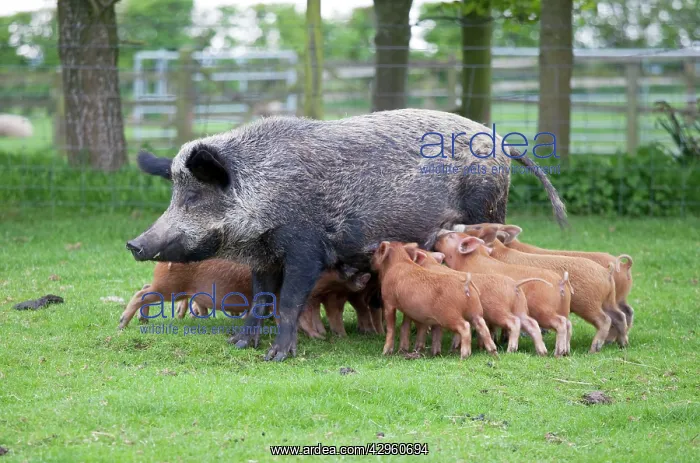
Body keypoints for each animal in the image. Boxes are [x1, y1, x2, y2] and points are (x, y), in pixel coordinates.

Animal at [434, 232, 573, 356]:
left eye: (451, 236)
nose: (437, 235)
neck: (469, 261)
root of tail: (561, 282)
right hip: (543, 309)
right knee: (564, 324)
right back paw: (557, 352)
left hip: (541, 310)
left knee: (559, 323)